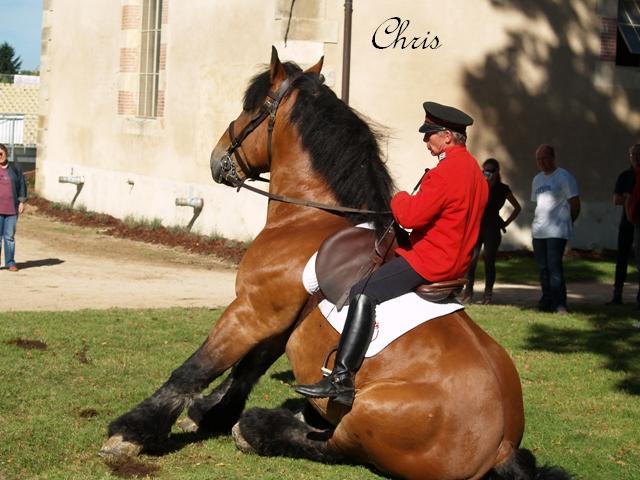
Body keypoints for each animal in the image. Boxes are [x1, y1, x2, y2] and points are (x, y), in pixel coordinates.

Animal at [102, 48, 572, 480]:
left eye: (251, 107)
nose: (219, 159)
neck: (308, 218)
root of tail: (502, 444)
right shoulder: (282, 320)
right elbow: (244, 372)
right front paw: (208, 413)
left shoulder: (252, 310)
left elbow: (197, 367)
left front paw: (131, 432)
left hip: (372, 412)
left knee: (331, 444)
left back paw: (262, 426)